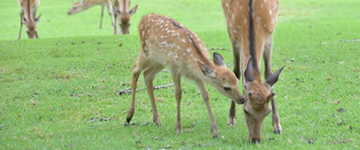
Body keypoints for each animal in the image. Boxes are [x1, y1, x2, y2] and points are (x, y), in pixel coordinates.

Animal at [222, 0, 284, 143]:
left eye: (267, 111)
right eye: (245, 110)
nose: (255, 139)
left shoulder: (270, 33)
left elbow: (268, 73)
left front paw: (277, 125)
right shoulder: (232, 34)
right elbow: (236, 73)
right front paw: (231, 118)